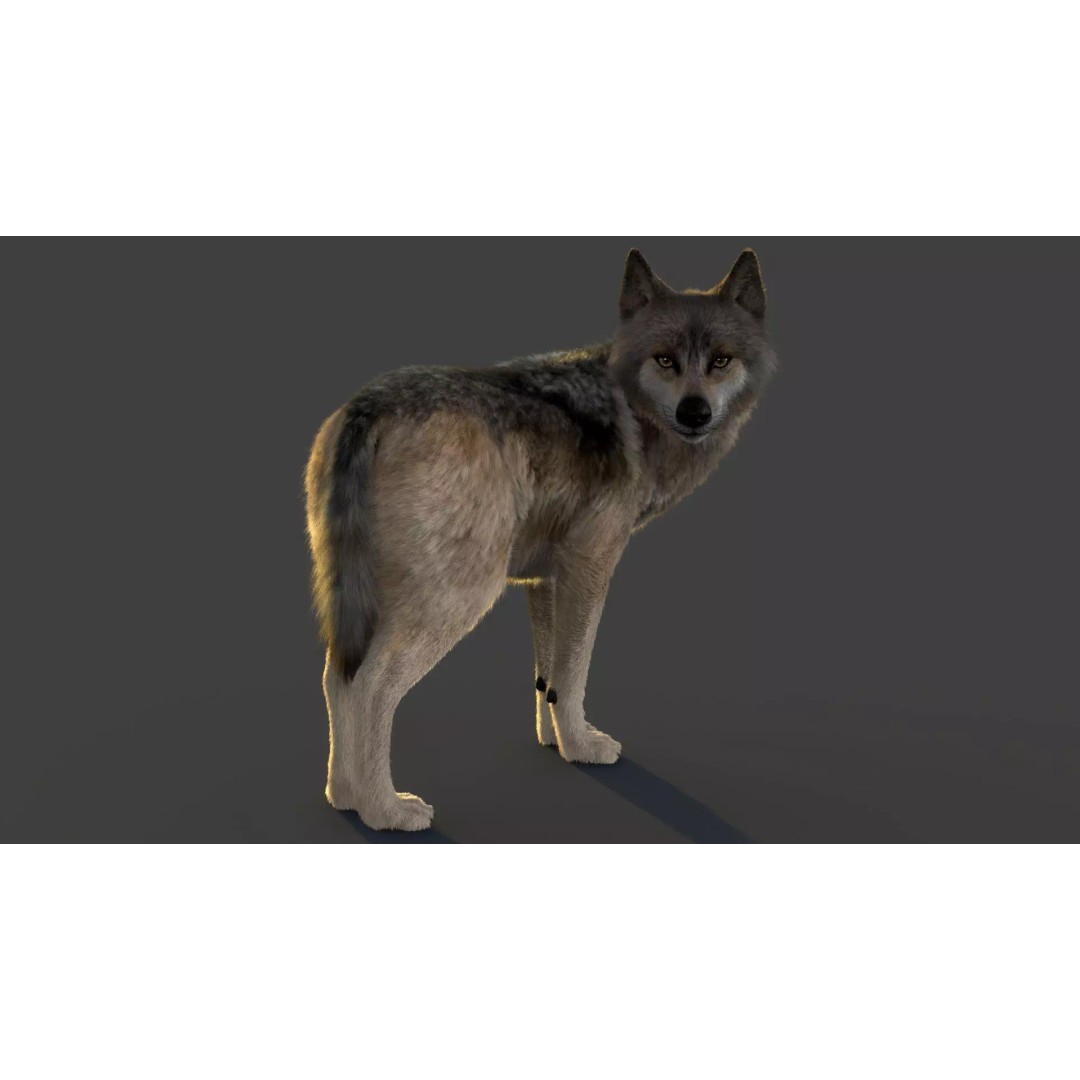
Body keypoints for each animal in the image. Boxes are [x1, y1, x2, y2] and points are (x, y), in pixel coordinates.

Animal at [304, 248, 777, 830]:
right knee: (369, 687)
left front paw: (557, 745)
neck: (630, 407)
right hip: (458, 599)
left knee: (334, 678)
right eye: (666, 360)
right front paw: (584, 748)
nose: (695, 411)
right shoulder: (589, 565)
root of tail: (369, 405)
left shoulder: (544, 578)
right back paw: (385, 810)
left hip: (367, 603)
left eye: (721, 360)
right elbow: (573, 674)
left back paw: (343, 796)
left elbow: (546, 681)